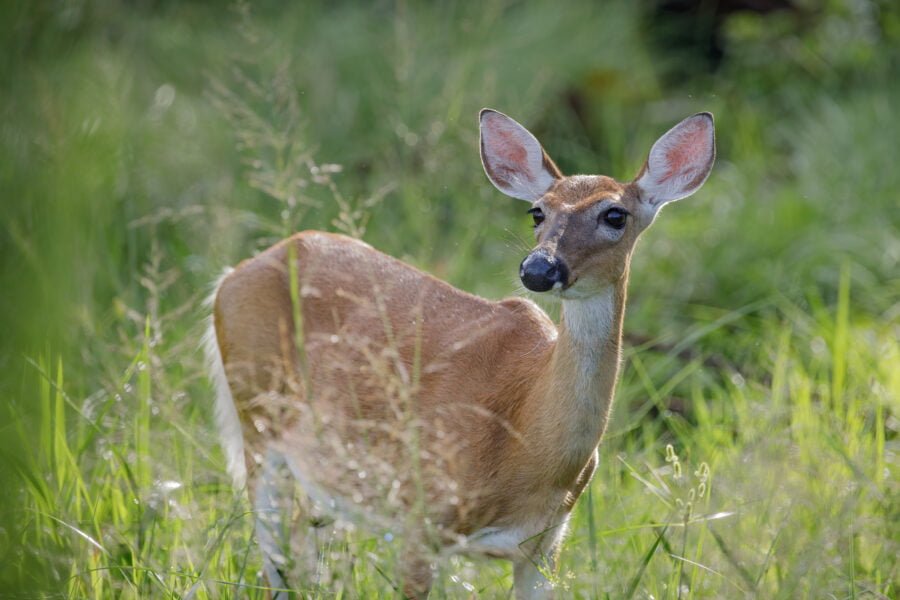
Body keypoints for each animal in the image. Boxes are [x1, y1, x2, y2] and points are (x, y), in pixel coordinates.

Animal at [206, 105, 716, 596]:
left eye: (615, 215)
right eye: (537, 212)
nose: (538, 269)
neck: (522, 438)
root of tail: (230, 276)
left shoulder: (545, 545)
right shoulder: (422, 515)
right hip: (258, 422)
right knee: (275, 558)